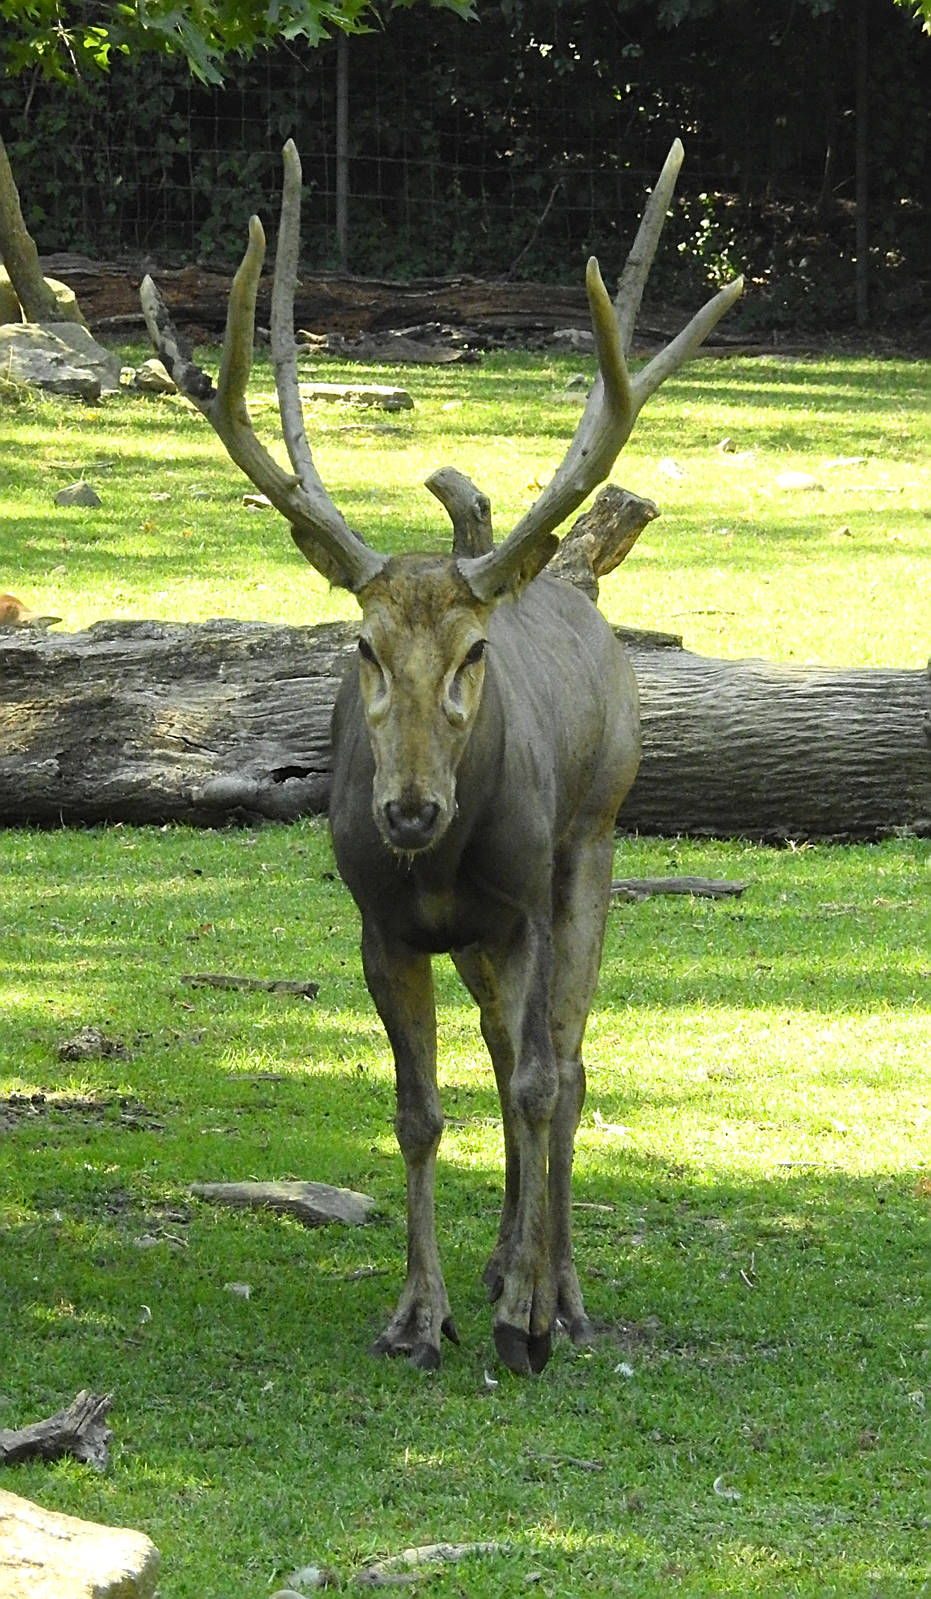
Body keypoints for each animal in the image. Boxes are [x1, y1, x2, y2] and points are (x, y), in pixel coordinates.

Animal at [141, 139, 741, 1375]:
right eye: (363, 645)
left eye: (472, 652)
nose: (411, 813)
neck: (437, 867)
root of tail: (577, 584)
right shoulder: (383, 925)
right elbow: (421, 1109)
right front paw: (421, 1314)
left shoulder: (521, 903)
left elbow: (540, 1080)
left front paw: (525, 1320)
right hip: (479, 933)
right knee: (508, 1053)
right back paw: (504, 1260)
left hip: (593, 842)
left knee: (563, 1061)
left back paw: (556, 1289)